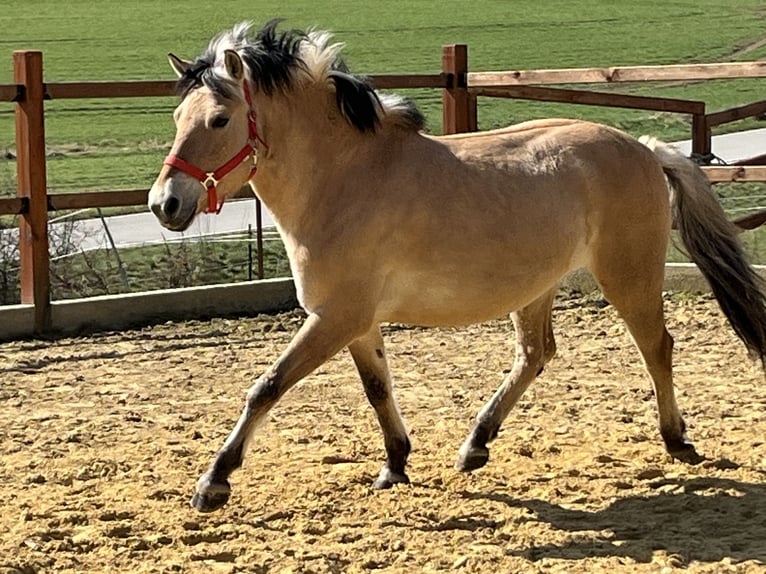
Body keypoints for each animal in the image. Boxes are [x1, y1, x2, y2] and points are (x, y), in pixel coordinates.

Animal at [148, 20, 766, 513]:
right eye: (178, 115)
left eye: (220, 119)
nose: (164, 204)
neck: (345, 179)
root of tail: (645, 148)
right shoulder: (355, 322)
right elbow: (377, 388)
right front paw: (395, 464)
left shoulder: (335, 317)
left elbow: (266, 387)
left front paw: (213, 483)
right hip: (536, 286)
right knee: (535, 354)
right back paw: (475, 445)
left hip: (628, 274)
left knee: (656, 347)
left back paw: (676, 440)